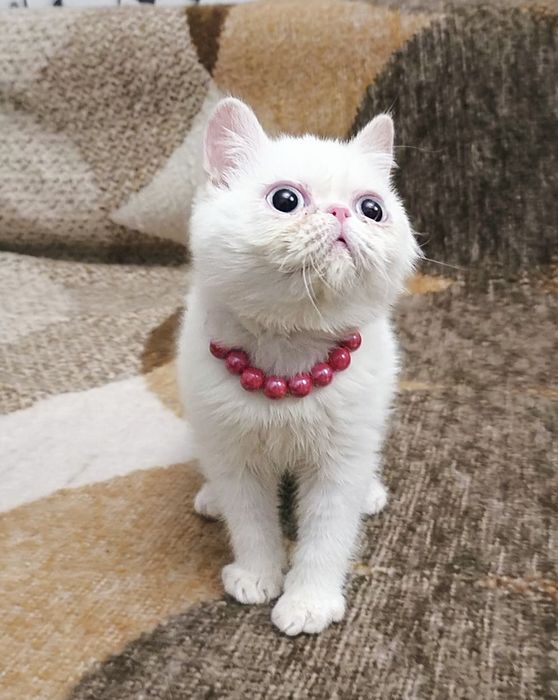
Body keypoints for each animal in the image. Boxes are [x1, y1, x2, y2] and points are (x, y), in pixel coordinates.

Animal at [178, 97, 419, 635]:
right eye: (285, 200)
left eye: (373, 209)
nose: (341, 212)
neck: (289, 359)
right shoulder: (234, 454)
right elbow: (250, 521)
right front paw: (257, 574)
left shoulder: (341, 460)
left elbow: (328, 533)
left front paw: (309, 601)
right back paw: (210, 497)